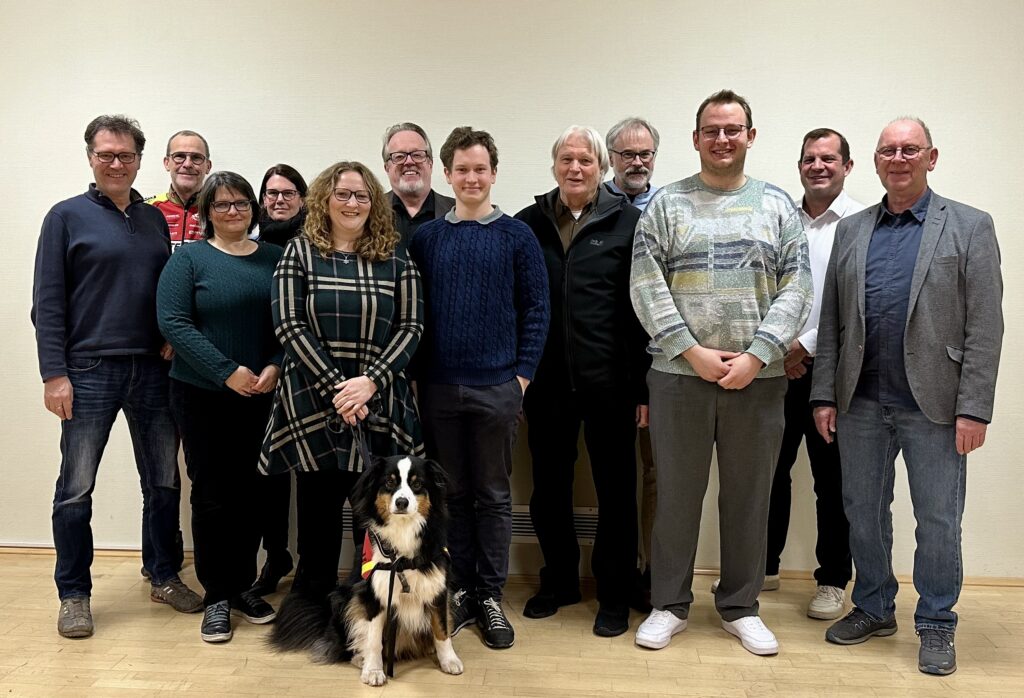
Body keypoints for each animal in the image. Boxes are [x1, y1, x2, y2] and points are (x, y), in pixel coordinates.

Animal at [268, 450, 460, 683]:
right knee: (350, 644)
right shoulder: (373, 594)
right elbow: (374, 638)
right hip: (345, 600)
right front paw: (374, 671)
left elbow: (442, 630)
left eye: (417, 484)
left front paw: (449, 660)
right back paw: (360, 658)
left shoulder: (437, 588)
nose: (402, 502)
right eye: (389, 482)